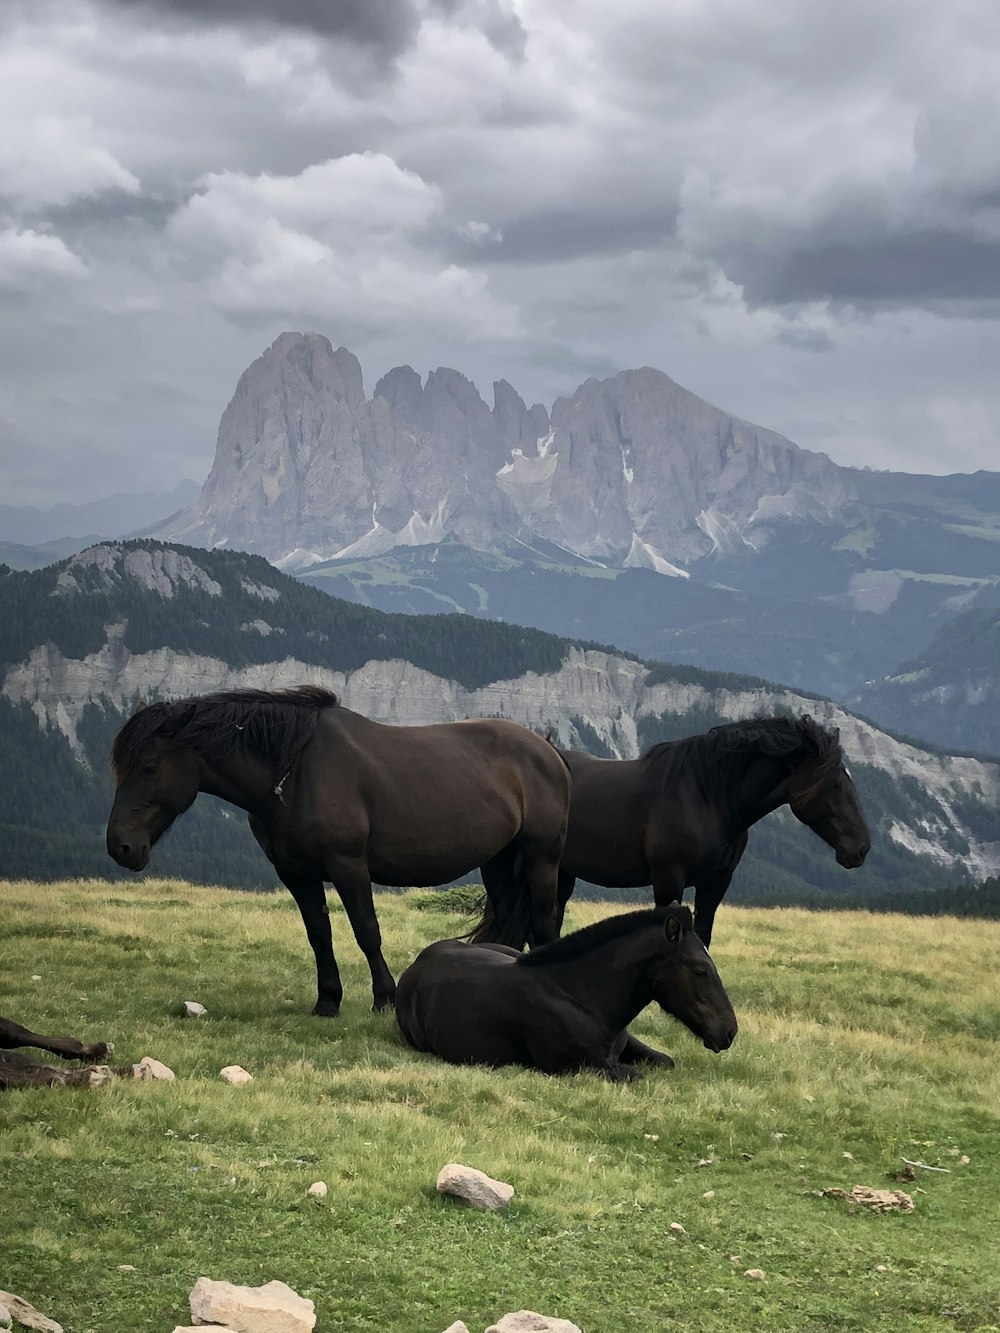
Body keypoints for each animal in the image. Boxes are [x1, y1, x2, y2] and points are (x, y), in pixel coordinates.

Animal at [106, 693, 576, 1013]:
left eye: (149, 767)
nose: (120, 846)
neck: (294, 773)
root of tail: (549, 751)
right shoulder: (296, 874)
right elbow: (319, 934)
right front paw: (327, 1001)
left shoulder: (348, 866)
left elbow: (366, 930)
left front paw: (384, 998)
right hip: (497, 862)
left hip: (541, 857)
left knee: (544, 920)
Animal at [397, 901, 736, 1077]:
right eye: (700, 969)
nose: (729, 1031)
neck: (579, 996)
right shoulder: (581, 1066)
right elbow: (636, 1074)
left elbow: (665, 1061)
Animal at [469, 714, 869, 954]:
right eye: (835, 784)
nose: (861, 849)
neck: (708, 797)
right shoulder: (668, 879)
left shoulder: (716, 883)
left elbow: (703, 935)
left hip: (560, 873)